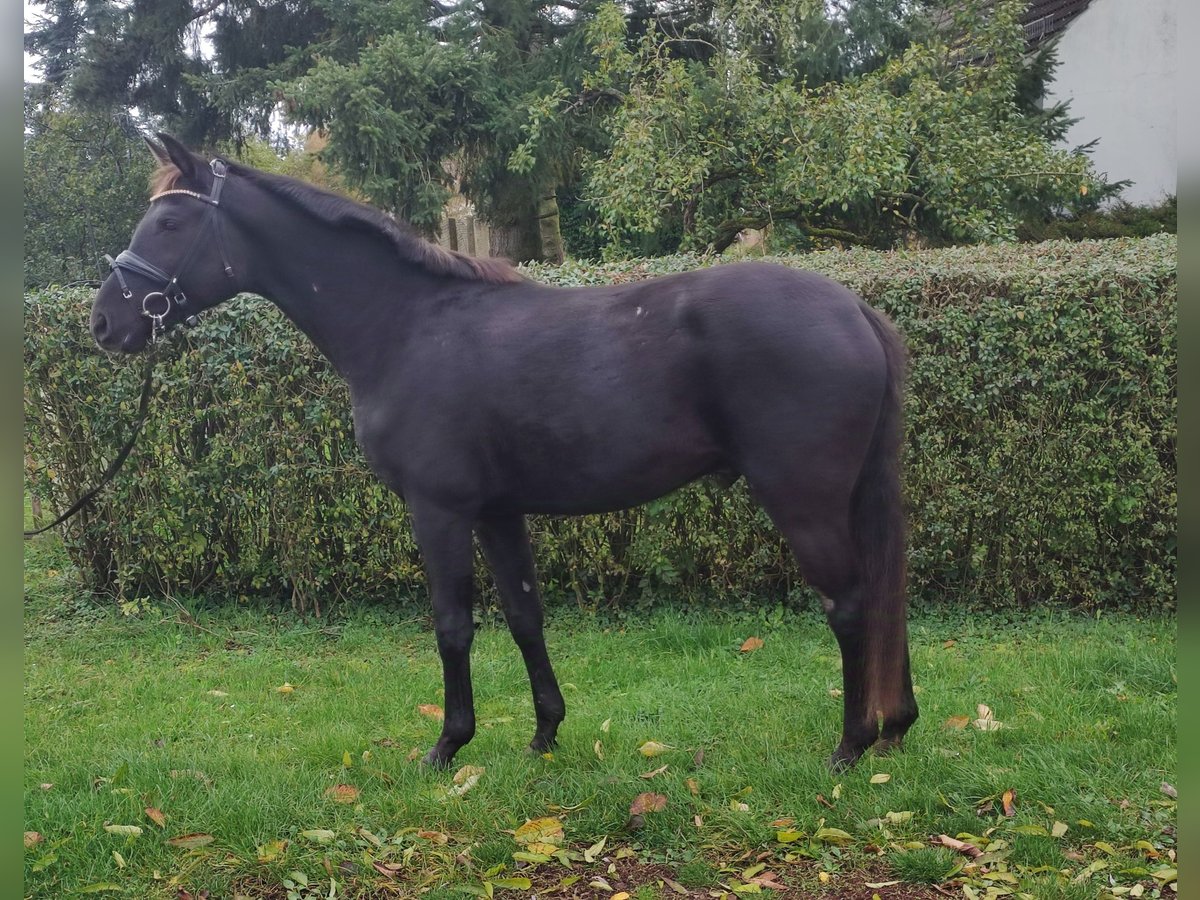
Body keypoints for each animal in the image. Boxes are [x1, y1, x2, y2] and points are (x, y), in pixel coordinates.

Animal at [93, 137, 916, 772]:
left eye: (169, 221)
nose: (105, 324)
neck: (407, 326)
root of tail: (854, 309)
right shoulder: (497, 513)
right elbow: (525, 615)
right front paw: (545, 733)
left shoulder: (439, 510)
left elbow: (452, 625)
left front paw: (447, 746)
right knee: (884, 594)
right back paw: (896, 728)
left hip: (802, 498)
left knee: (851, 602)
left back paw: (850, 745)